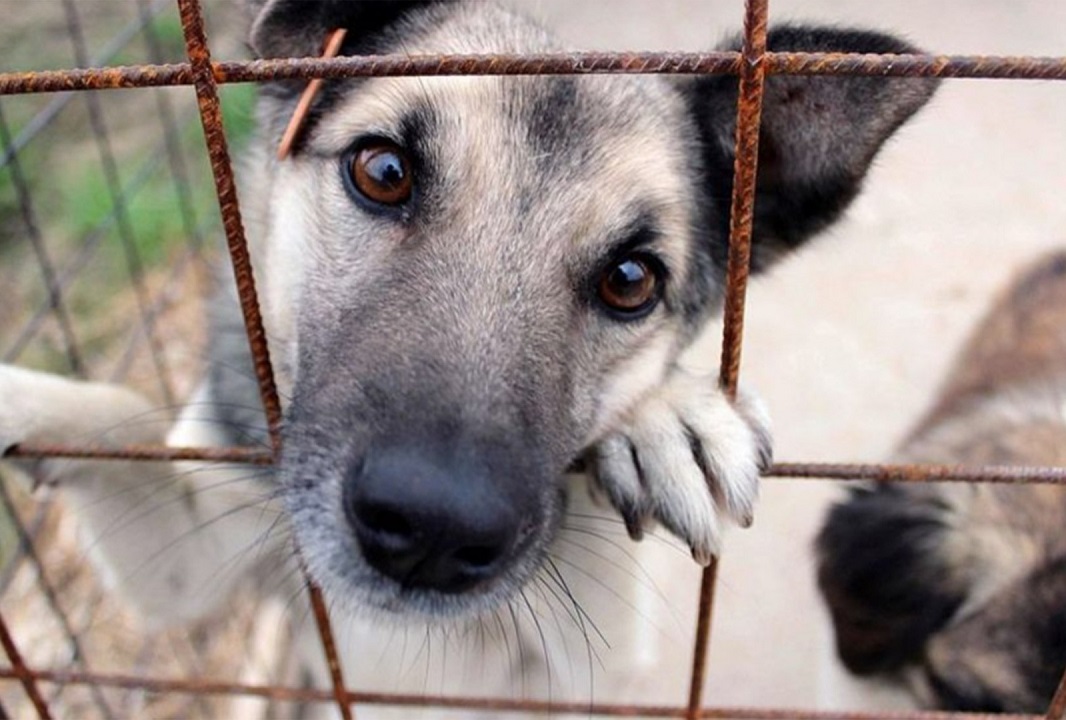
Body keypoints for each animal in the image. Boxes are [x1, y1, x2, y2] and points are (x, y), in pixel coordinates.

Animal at [0, 0, 933, 716]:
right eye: (382, 170)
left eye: (632, 279)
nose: (431, 531)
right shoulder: (188, 567)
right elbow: (116, 415)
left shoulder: (569, 669)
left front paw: (663, 415)